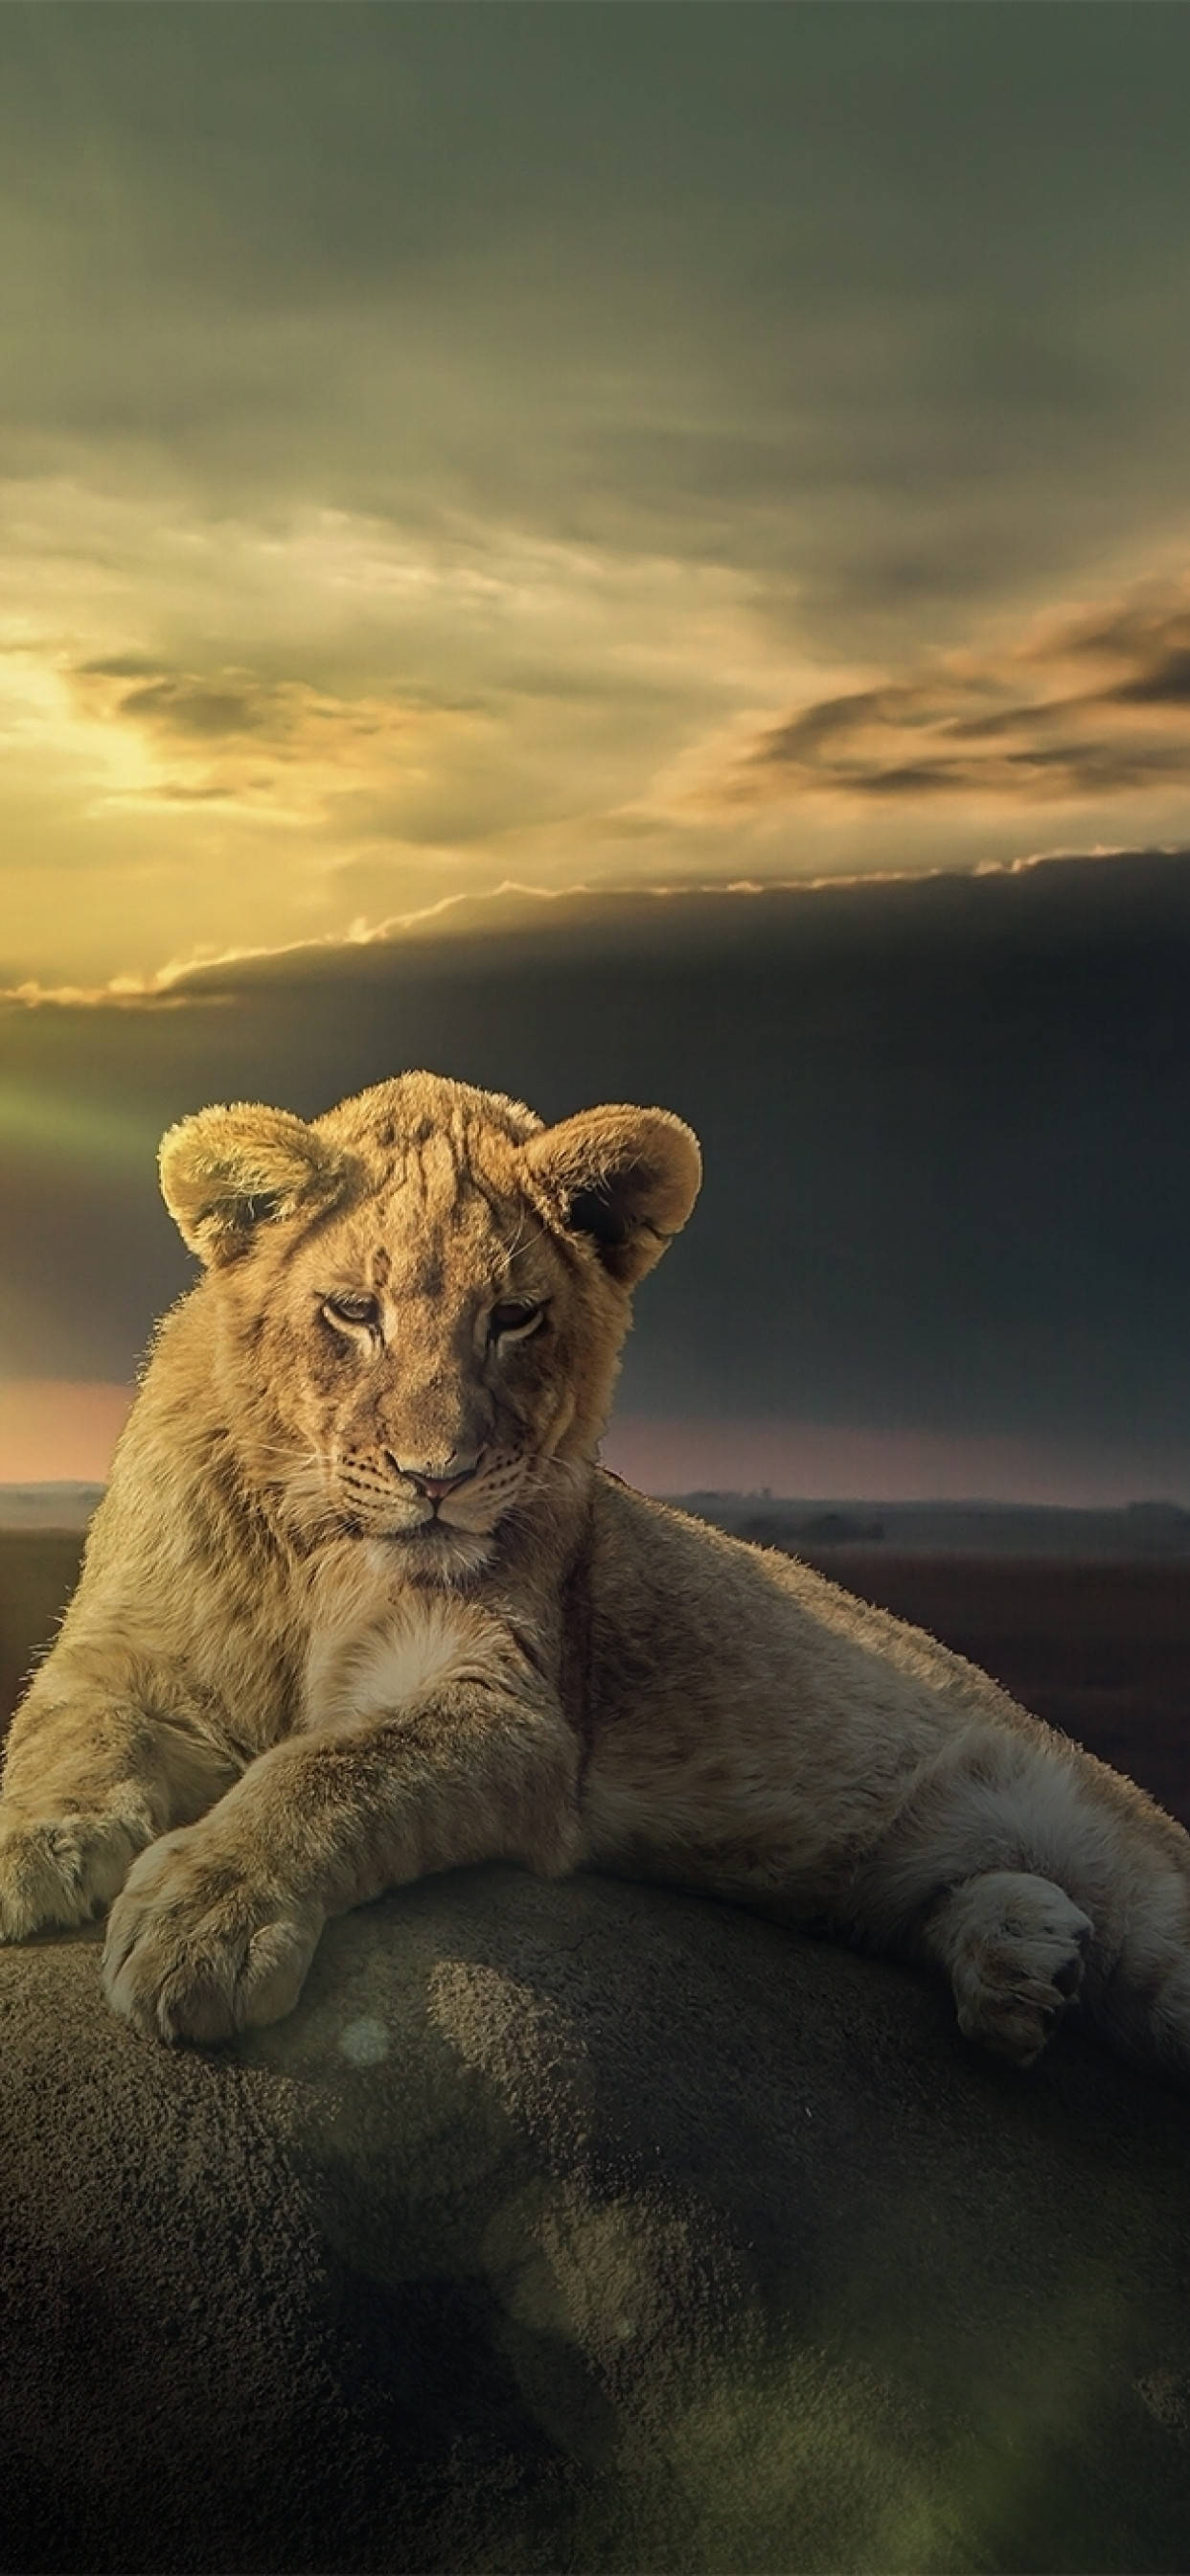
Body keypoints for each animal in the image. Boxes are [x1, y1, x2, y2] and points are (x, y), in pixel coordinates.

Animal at [2, 1069, 1188, 2080]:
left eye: (514, 1317)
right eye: (353, 1312)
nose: (439, 1477)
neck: (313, 1547)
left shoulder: (515, 1706)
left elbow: (326, 1769)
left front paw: (206, 1916)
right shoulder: (124, 1648)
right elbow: (66, 1727)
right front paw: (34, 1843)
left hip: (1137, 1883)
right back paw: (1023, 1961)